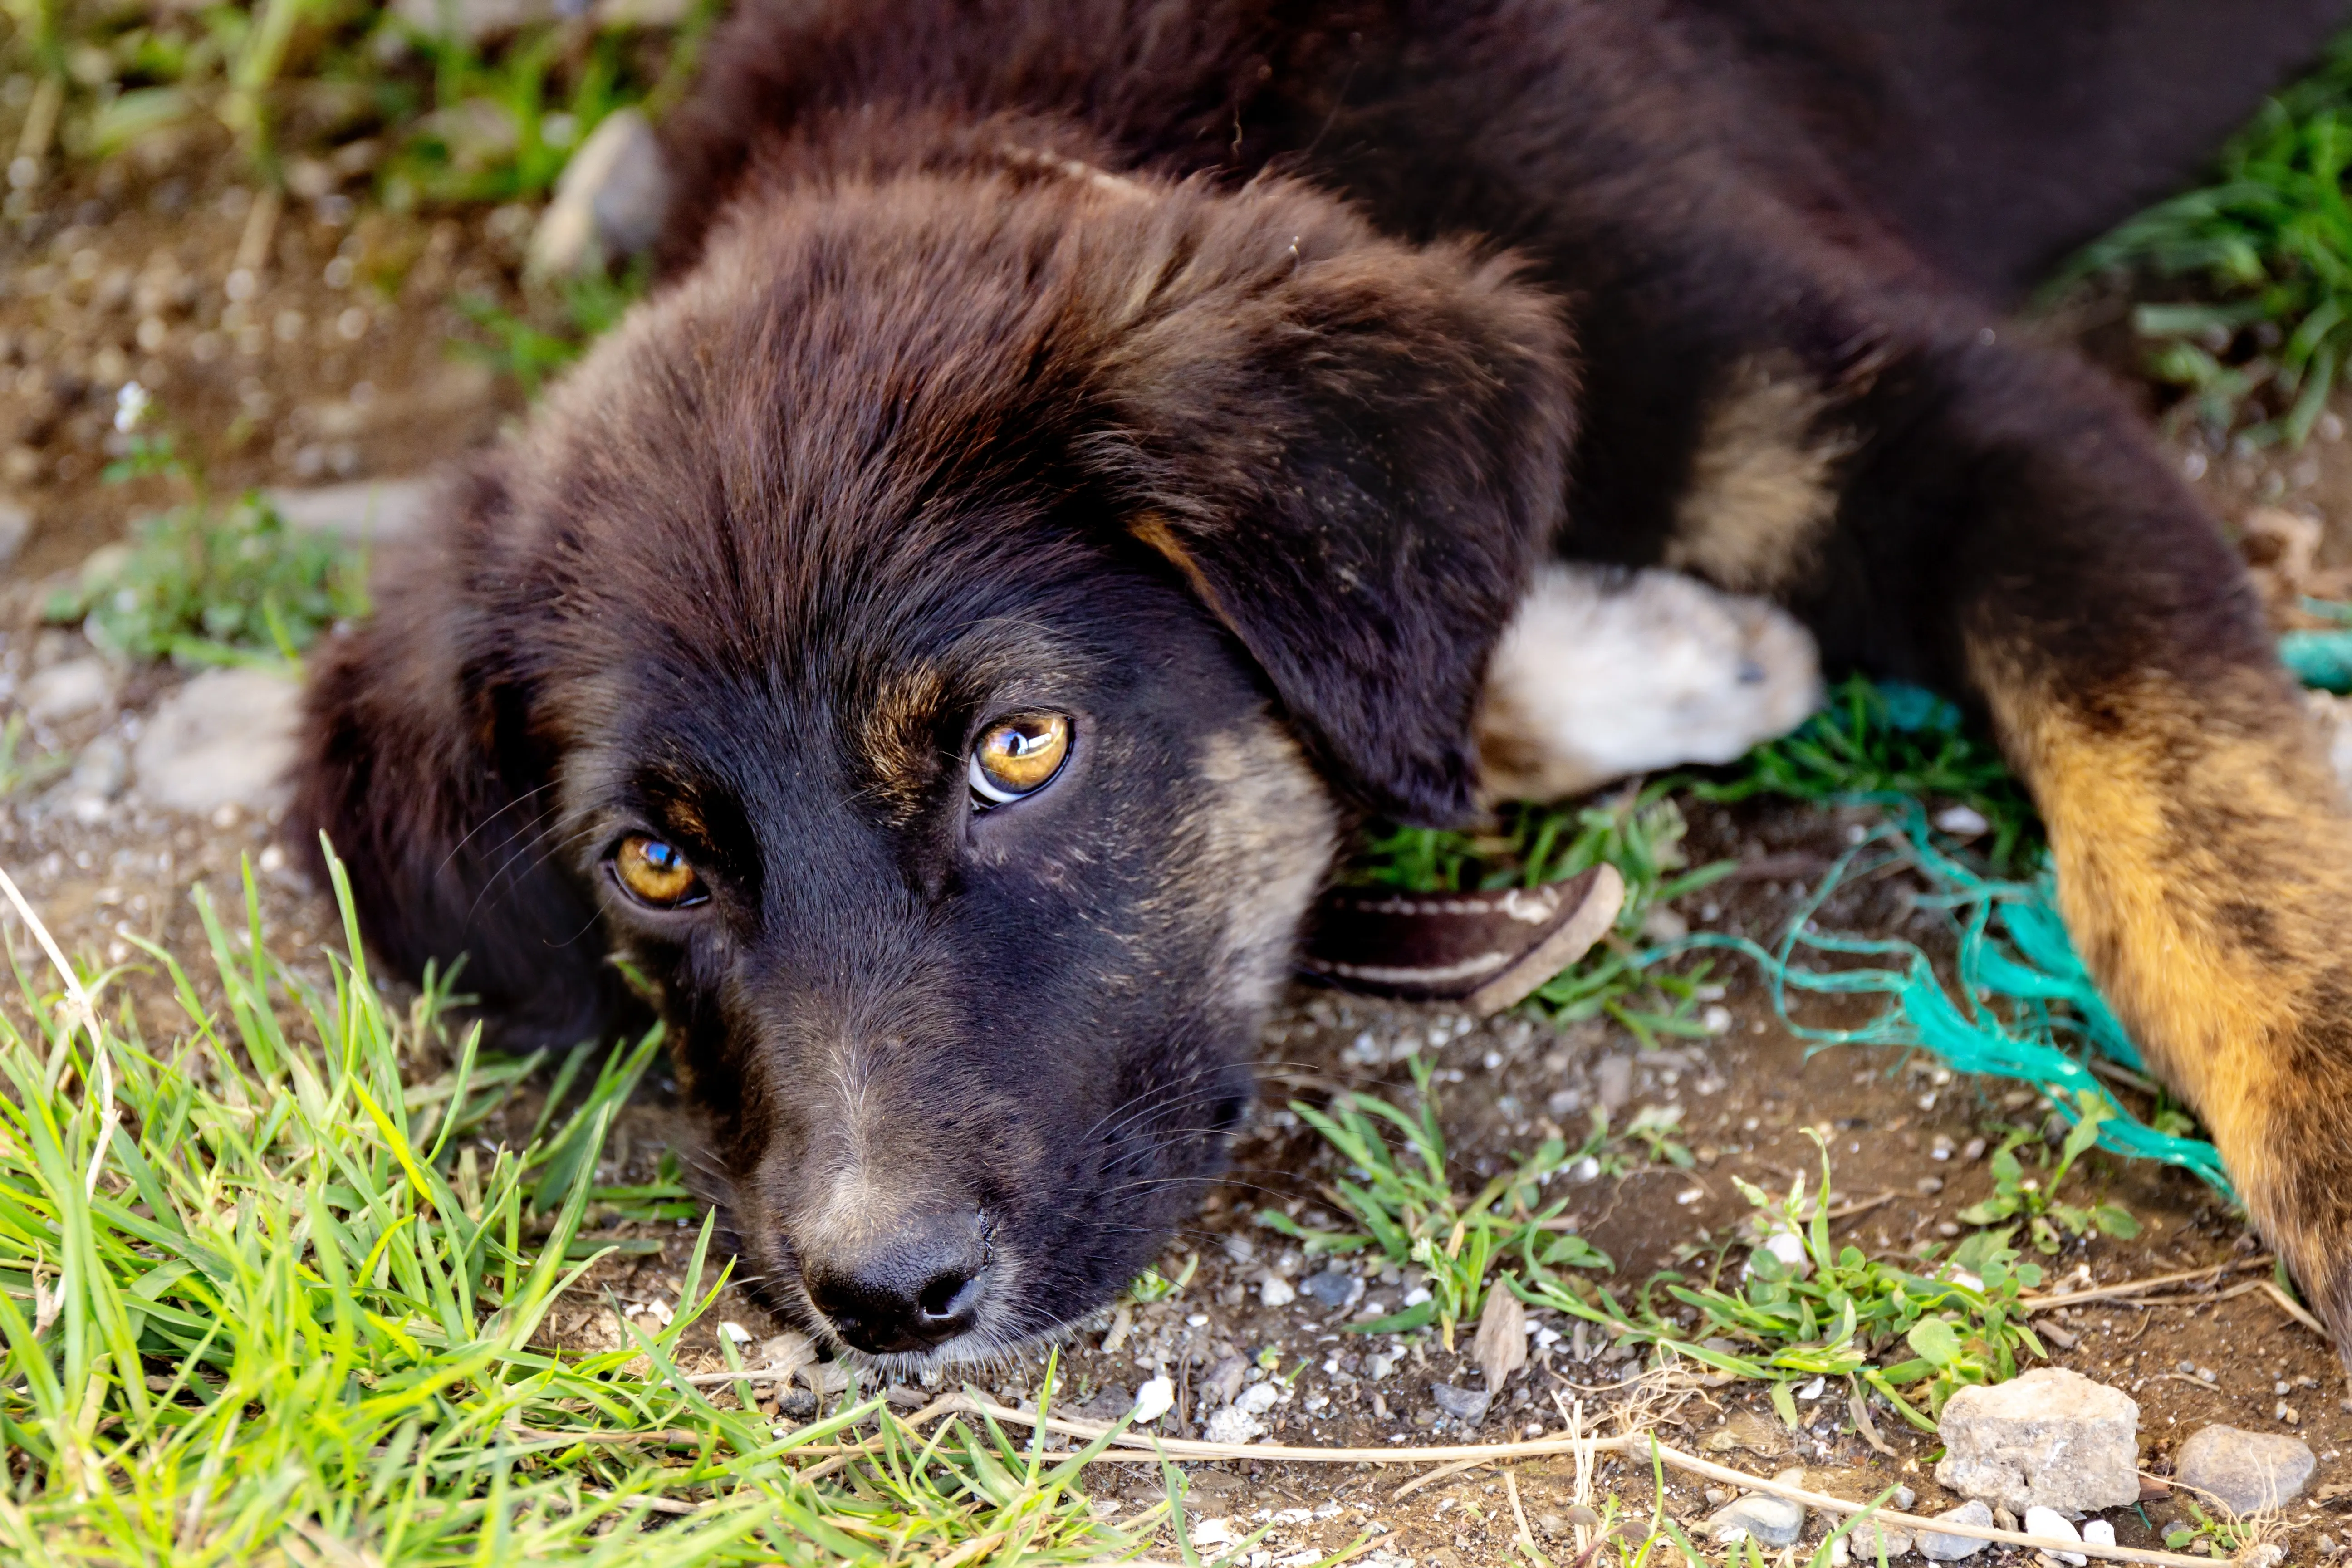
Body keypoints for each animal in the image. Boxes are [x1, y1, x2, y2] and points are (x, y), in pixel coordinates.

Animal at [294, 0, 2352, 1363]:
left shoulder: (1972, 425)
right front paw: (1654, 651)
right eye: (652, 865)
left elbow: (2185, 817)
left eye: (1022, 747)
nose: (885, 1302)